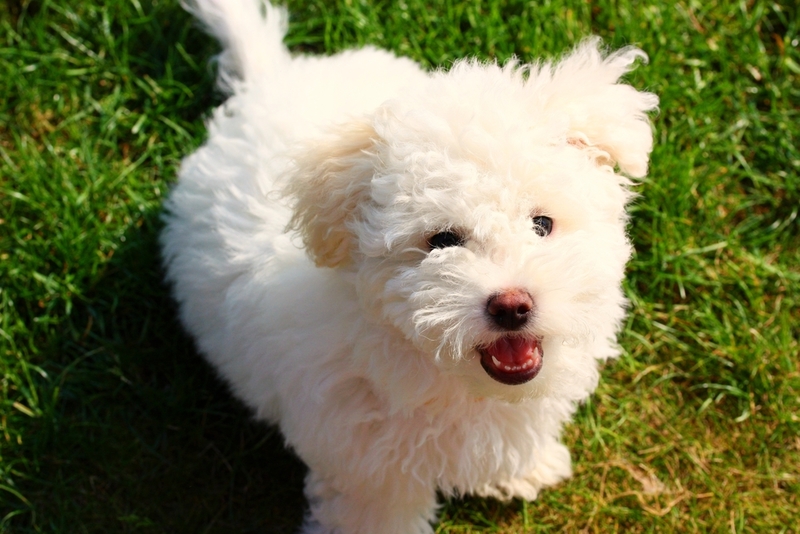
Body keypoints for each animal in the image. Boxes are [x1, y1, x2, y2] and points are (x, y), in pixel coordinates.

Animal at [161, 2, 656, 532]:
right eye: (442, 241)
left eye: (542, 224)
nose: (511, 305)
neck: (458, 383)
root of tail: (270, 77)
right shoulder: (366, 460)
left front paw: (524, 468)